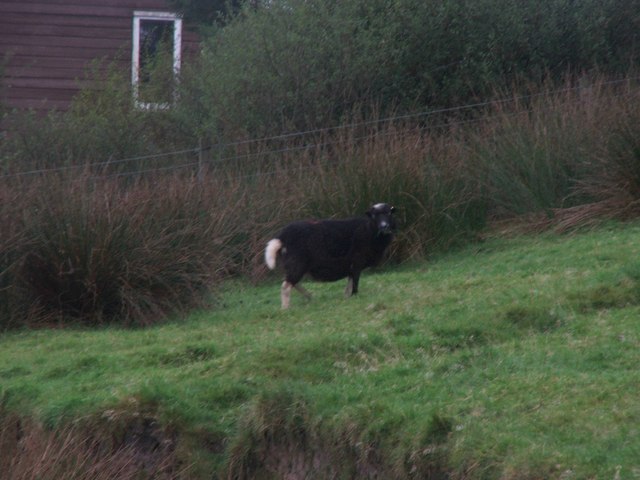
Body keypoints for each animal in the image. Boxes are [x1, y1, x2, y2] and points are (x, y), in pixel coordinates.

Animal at [264, 202, 396, 308]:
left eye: (389, 213)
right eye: (374, 215)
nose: (384, 226)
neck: (368, 230)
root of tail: (282, 236)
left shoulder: (350, 264)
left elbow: (350, 281)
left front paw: (346, 297)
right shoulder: (357, 261)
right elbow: (355, 280)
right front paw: (354, 295)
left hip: (295, 264)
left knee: (292, 281)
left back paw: (309, 296)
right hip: (297, 262)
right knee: (286, 285)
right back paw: (286, 308)